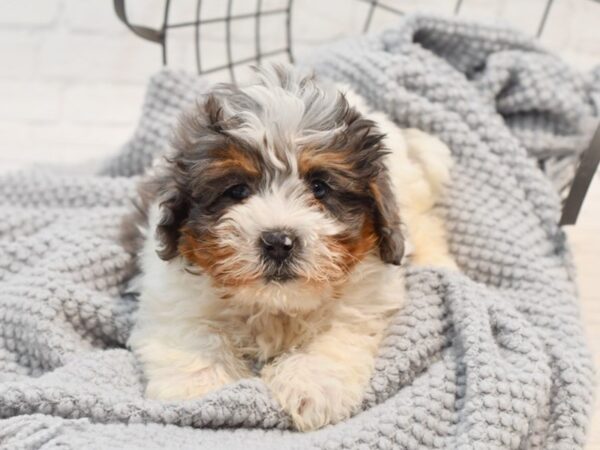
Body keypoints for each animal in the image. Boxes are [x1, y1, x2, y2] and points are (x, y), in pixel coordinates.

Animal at [123, 65, 454, 430]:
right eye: (237, 190)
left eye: (320, 187)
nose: (278, 243)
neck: (275, 307)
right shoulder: (173, 296)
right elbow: (192, 332)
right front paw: (200, 386)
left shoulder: (362, 300)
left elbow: (335, 337)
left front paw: (310, 386)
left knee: (425, 224)